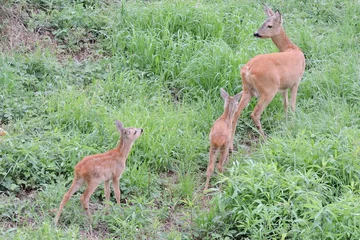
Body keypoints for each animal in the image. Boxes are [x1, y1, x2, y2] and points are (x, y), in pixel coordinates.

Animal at [231, 4, 304, 148]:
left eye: (268, 25)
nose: (256, 33)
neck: (291, 48)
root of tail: (247, 69)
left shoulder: (283, 86)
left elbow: (285, 104)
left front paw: (285, 122)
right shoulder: (296, 81)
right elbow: (292, 105)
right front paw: (293, 124)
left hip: (247, 89)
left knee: (236, 112)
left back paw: (230, 145)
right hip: (268, 90)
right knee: (254, 114)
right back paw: (265, 139)